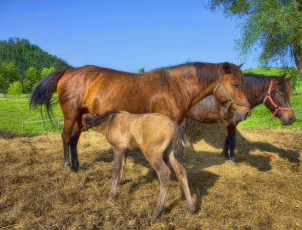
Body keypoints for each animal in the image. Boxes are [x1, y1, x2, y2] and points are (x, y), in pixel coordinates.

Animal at [30, 62, 250, 172]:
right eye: (235, 83)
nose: (246, 112)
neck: (175, 86)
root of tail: (68, 71)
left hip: (79, 116)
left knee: (74, 139)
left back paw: (77, 166)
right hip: (70, 114)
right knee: (66, 138)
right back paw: (68, 167)